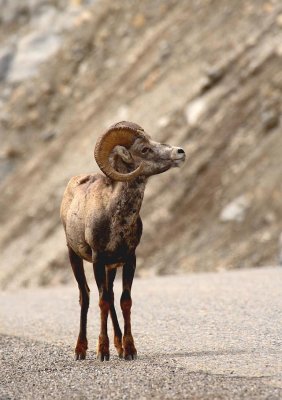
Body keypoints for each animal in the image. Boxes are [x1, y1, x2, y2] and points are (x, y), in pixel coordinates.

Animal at [60, 120, 185, 360]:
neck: (117, 219)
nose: (180, 152)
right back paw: (81, 350)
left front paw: (129, 350)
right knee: (86, 297)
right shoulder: (98, 260)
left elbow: (124, 301)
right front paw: (102, 352)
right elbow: (102, 302)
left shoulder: (129, 260)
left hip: (111, 268)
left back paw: (118, 346)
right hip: (75, 257)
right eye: (144, 149)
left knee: (110, 296)